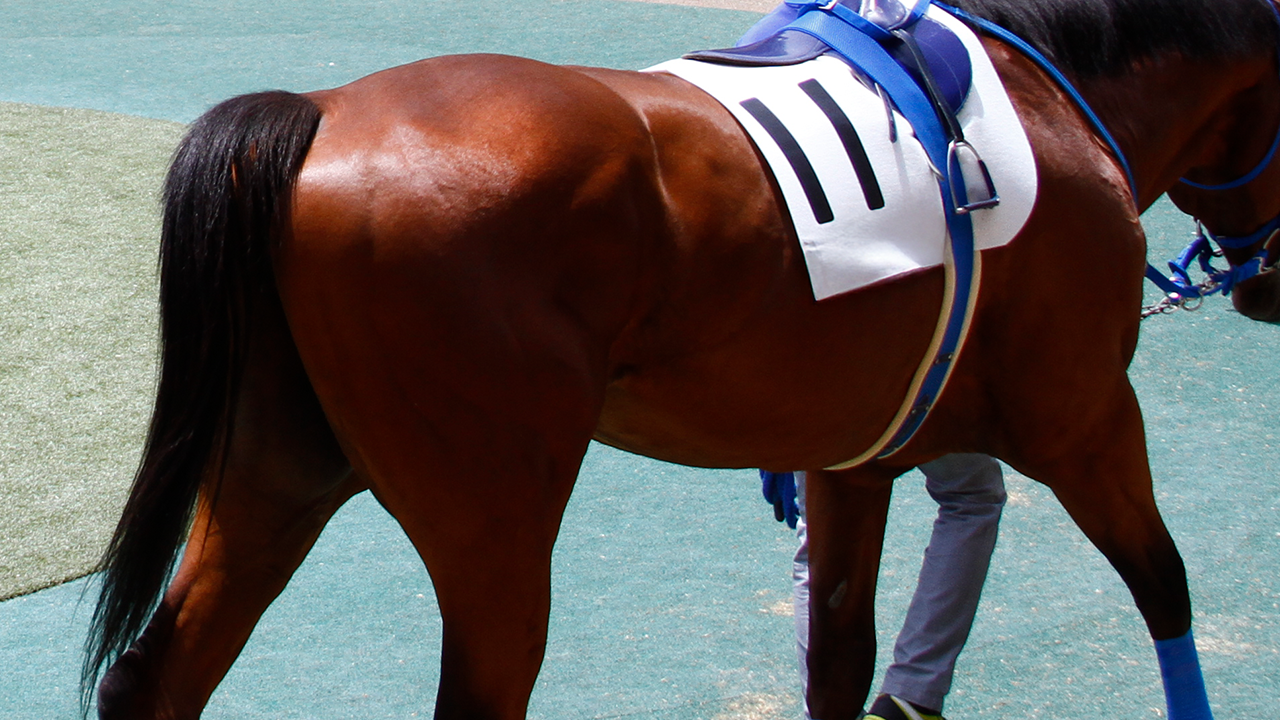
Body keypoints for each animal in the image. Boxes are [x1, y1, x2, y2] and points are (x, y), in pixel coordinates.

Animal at [82, 0, 1280, 717]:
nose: (1262, 285)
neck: (1040, 100)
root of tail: (317, 115)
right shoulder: (1086, 418)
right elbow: (1164, 585)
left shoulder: (850, 461)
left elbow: (838, 654)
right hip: (488, 522)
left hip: (277, 472)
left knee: (159, 672)